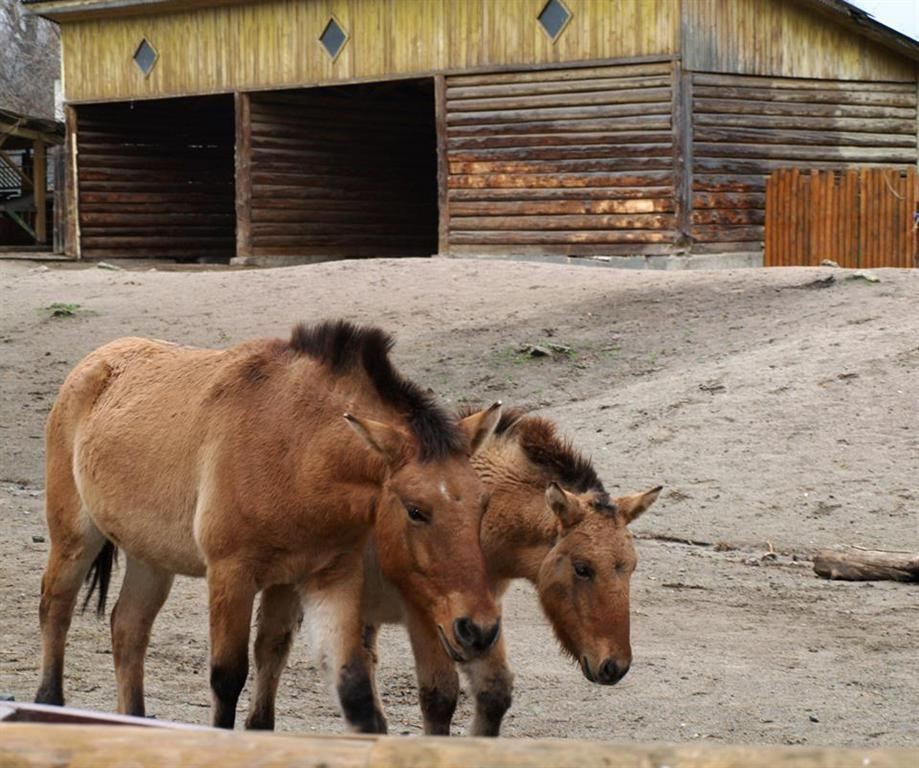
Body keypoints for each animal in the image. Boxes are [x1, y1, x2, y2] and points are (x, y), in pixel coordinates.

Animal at [34, 320, 504, 732]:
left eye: (483, 503)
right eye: (415, 510)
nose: (478, 629)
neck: (296, 449)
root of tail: (94, 362)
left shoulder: (323, 579)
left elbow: (347, 685)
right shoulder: (232, 575)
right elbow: (228, 678)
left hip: (152, 559)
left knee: (128, 627)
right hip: (75, 539)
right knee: (56, 609)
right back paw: (47, 705)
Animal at [244, 408, 660, 736]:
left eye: (631, 566)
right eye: (582, 568)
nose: (614, 666)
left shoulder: (482, 624)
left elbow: (494, 693)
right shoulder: (427, 618)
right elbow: (439, 697)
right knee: (271, 650)